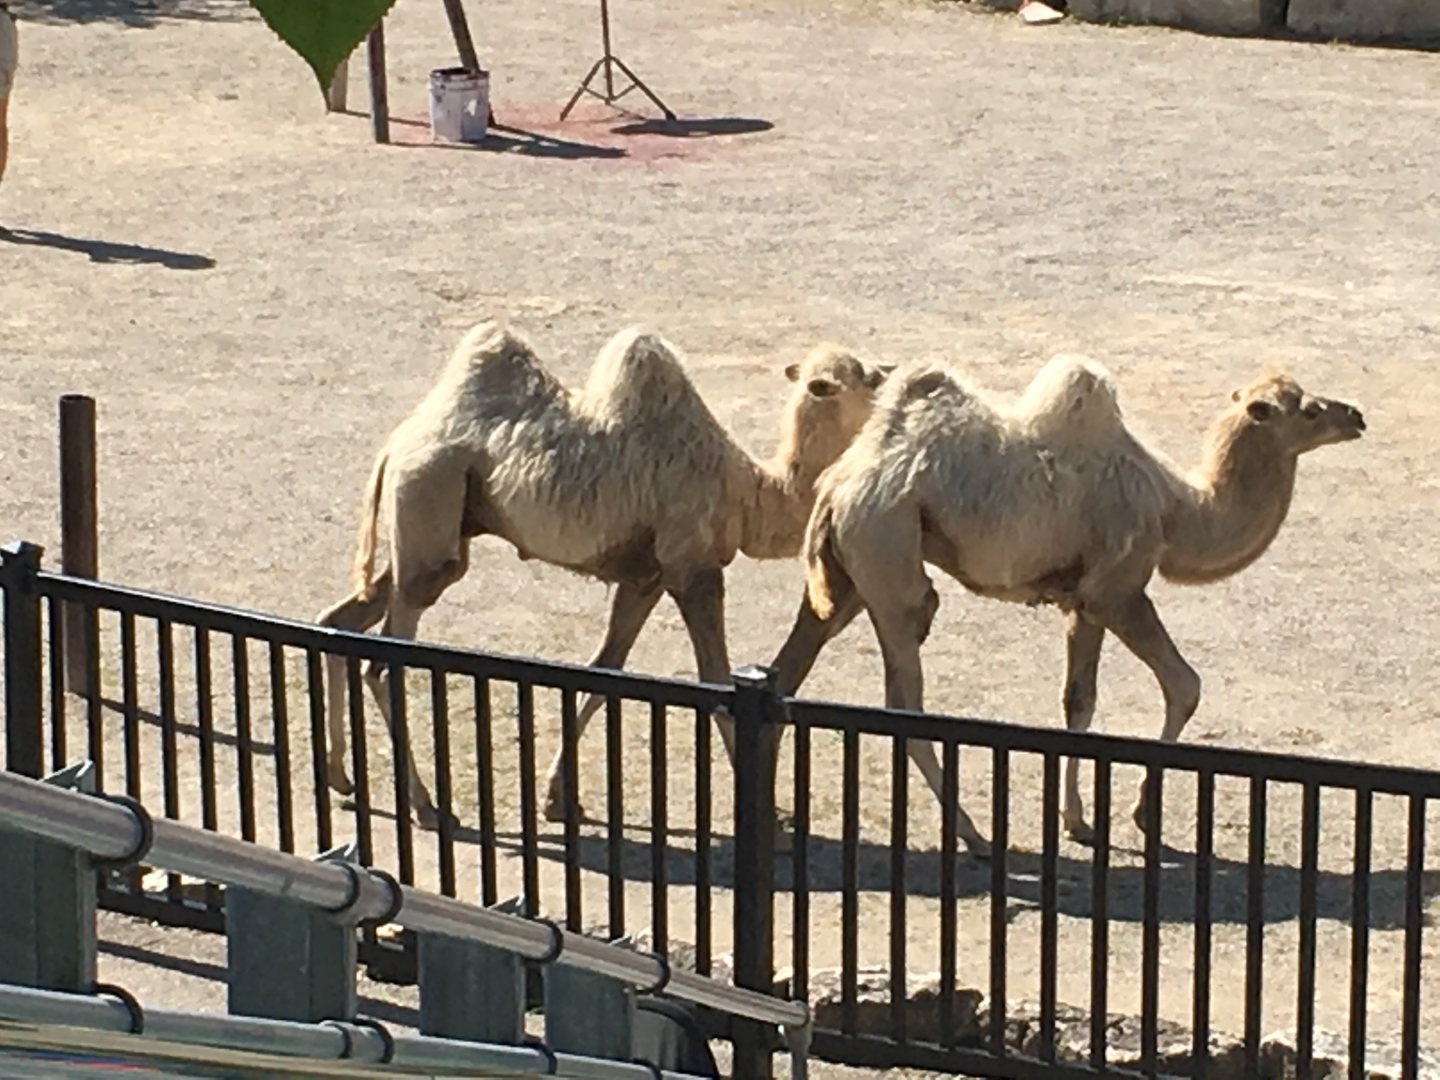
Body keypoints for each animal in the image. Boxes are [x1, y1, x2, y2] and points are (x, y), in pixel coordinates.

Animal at [316, 319, 891, 829]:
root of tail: (393, 447)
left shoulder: (647, 578)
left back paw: (341, 777)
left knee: (341, 620)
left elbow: (604, 669)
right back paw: (428, 807)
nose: (891, 372)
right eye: (867, 379)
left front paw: (556, 800)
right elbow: (713, 680)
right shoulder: (692, 567)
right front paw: (770, 814)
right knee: (384, 664)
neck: (746, 492)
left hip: (437, 532)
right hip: (430, 506)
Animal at [769, 357, 1365, 855]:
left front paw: (1077, 821)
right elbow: (1184, 685)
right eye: (1309, 409)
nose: (1356, 415)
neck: (1177, 510)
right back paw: (974, 835)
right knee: (904, 698)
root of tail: (835, 487)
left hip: (848, 578)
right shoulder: (1119, 590)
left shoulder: (1081, 602)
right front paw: (1141, 815)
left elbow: (1078, 702)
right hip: (889, 558)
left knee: (791, 666)